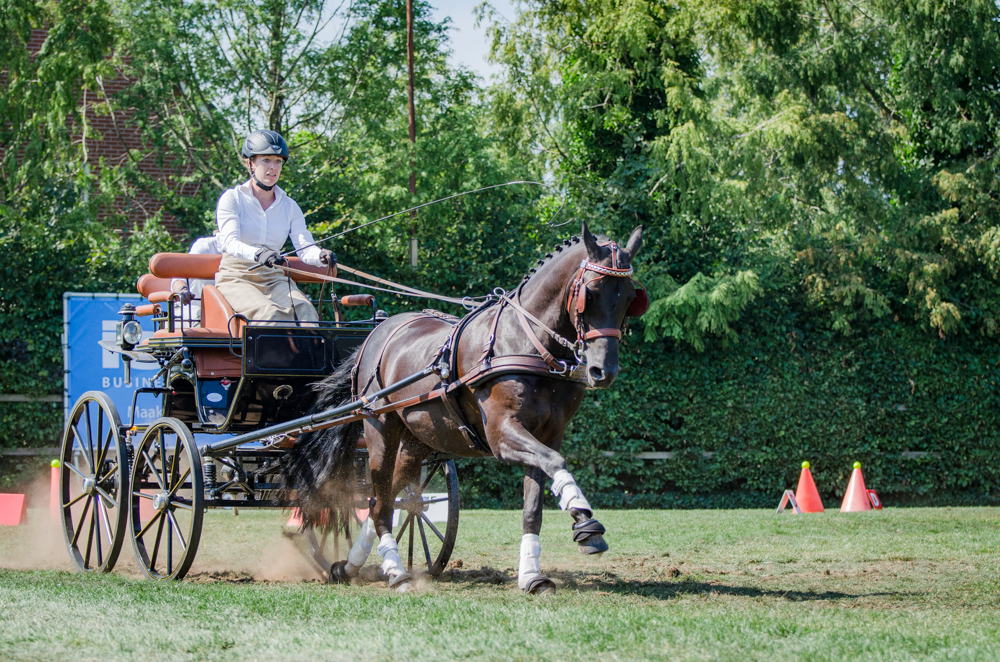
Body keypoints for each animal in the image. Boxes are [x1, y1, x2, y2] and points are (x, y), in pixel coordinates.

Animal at [288, 223, 648, 596]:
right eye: (590, 292)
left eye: (630, 298)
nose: (603, 371)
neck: (529, 344)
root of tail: (376, 333)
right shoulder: (502, 434)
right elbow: (555, 463)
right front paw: (585, 521)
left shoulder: (547, 435)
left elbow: (534, 505)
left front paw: (531, 575)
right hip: (380, 430)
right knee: (382, 502)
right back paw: (397, 573)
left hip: (417, 441)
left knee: (381, 502)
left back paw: (350, 566)